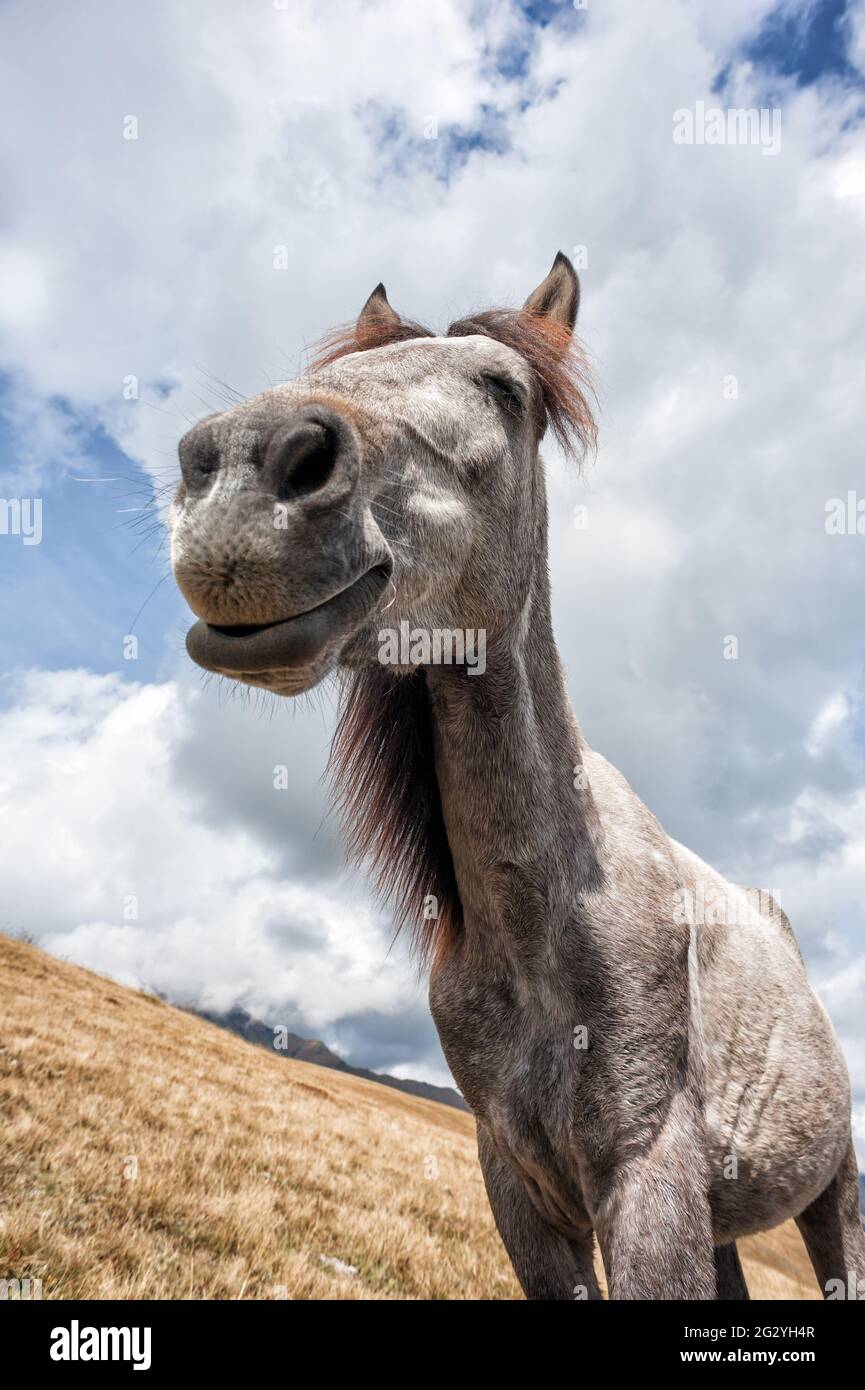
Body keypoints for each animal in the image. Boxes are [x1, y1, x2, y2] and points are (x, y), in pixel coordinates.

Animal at [169, 253, 864, 1299]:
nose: (246, 465)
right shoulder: (521, 1194)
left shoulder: (646, 1184)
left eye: (503, 388)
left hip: (834, 1200)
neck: (548, 916)